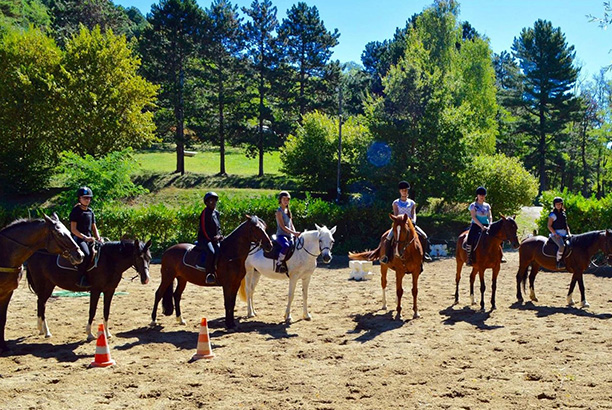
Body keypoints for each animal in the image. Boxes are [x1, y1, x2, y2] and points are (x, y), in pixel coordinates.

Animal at [0, 213, 83, 354]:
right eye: (59, 233)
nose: (80, 255)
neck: (5, 253)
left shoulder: (7, 292)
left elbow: (3, 319)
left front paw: (4, 347)